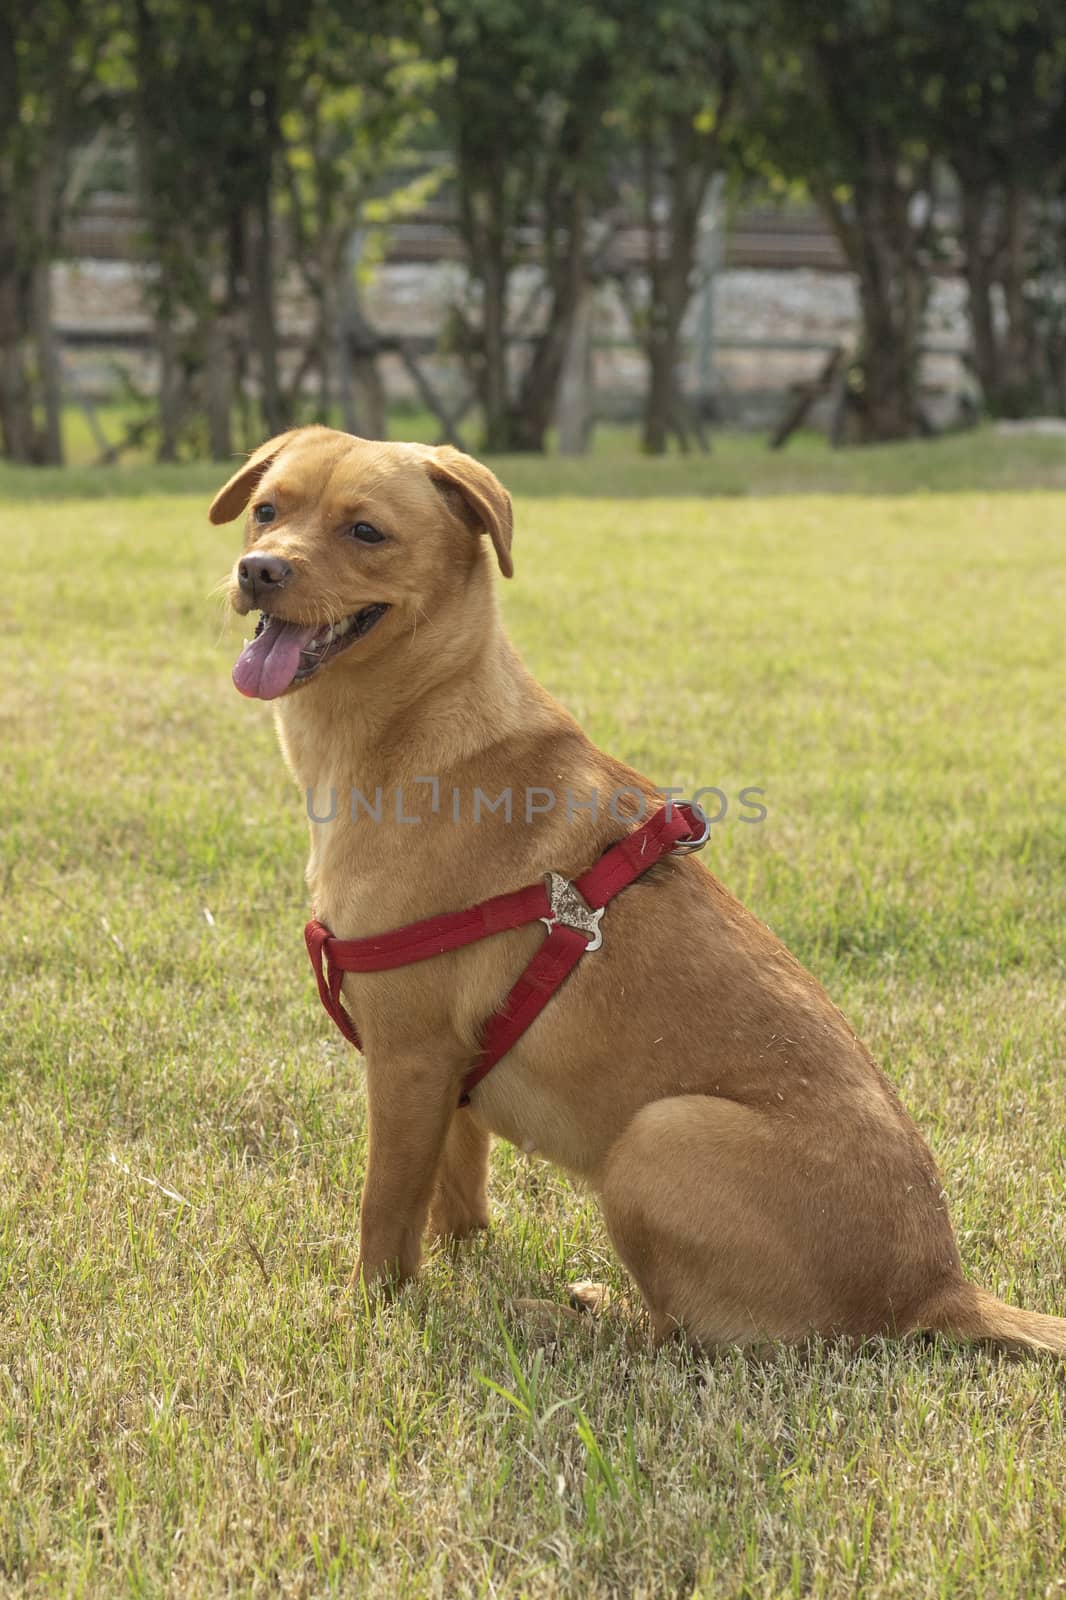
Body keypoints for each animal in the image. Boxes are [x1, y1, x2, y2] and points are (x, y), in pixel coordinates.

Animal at [214, 425, 1062, 1350]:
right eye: (268, 510)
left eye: (365, 531)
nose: (259, 569)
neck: (412, 730)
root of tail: (941, 1290)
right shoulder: (452, 1069)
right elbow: (457, 1200)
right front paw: (460, 1265)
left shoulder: (407, 1057)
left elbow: (384, 1214)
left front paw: (370, 1310)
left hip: (656, 1138)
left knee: (671, 1338)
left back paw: (562, 1313)